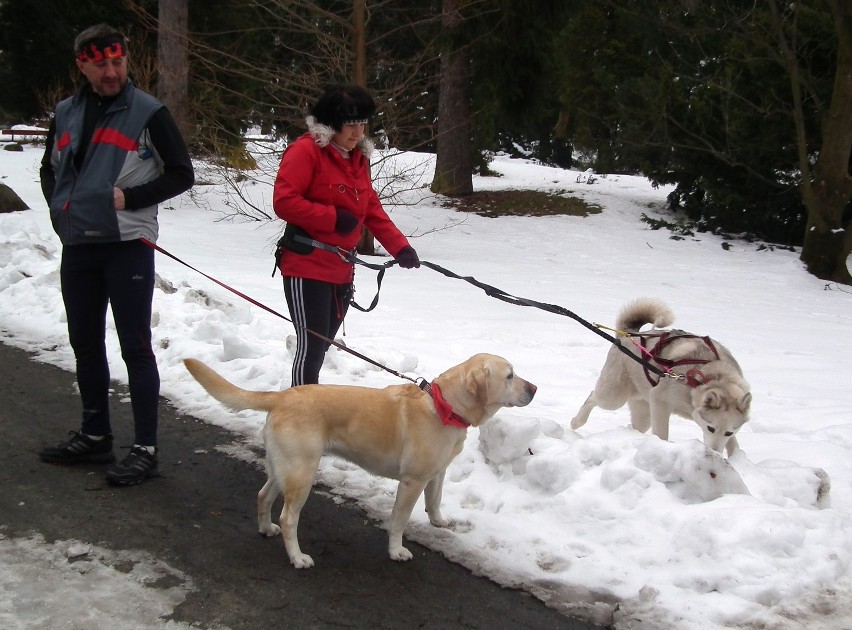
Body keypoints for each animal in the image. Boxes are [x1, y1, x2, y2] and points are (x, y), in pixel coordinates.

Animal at [184, 354, 536, 572]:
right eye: (510, 375)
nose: (534, 388)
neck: (444, 406)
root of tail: (282, 396)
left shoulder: (436, 473)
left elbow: (434, 501)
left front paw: (439, 522)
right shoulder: (412, 481)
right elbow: (399, 521)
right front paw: (396, 552)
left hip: (282, 468)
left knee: (262, 496)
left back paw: (265, 528)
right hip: (301, 474)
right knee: (288, 518)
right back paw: (297, 557)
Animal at [572, 298, 752, 456]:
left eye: (729, 432)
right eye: (710, 428)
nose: (714, 452)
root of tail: (629, 334)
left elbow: (734, 445)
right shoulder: (660, 401)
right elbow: (661, 434)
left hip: (643, 413)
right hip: (613, 396)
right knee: (592, 397)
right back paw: (576, 421)